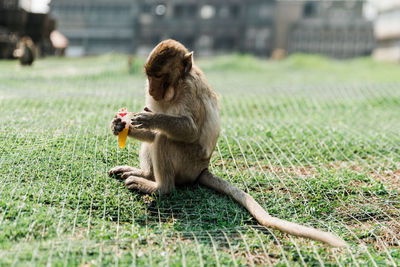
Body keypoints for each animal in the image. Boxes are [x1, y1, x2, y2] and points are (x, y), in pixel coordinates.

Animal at [108, 39, 346, 247]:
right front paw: (121, 126)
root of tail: (202, 169)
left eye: (159, 76)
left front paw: (151, 119)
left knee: (165, 140)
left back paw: (159, 187)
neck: (176, 87)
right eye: (149, 76)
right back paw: (146, 175)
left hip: (187, 164)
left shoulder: (190, 90)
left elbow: (189, 131)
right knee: (158, 140)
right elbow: (150, 134)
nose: (151, 89)